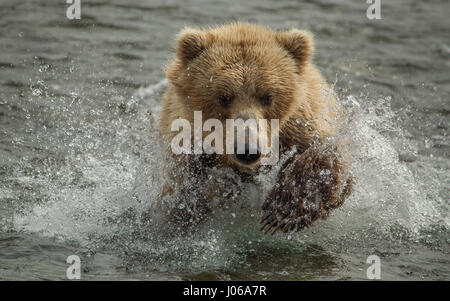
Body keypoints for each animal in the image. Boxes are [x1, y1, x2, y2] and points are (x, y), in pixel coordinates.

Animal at [157, 22, 352, 234]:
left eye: (267, 96)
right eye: (223, 97)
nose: (248, 150)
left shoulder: (303, 121)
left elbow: (325, 155)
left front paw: (282, 212)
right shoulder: (187, 136)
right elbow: (183, 189)